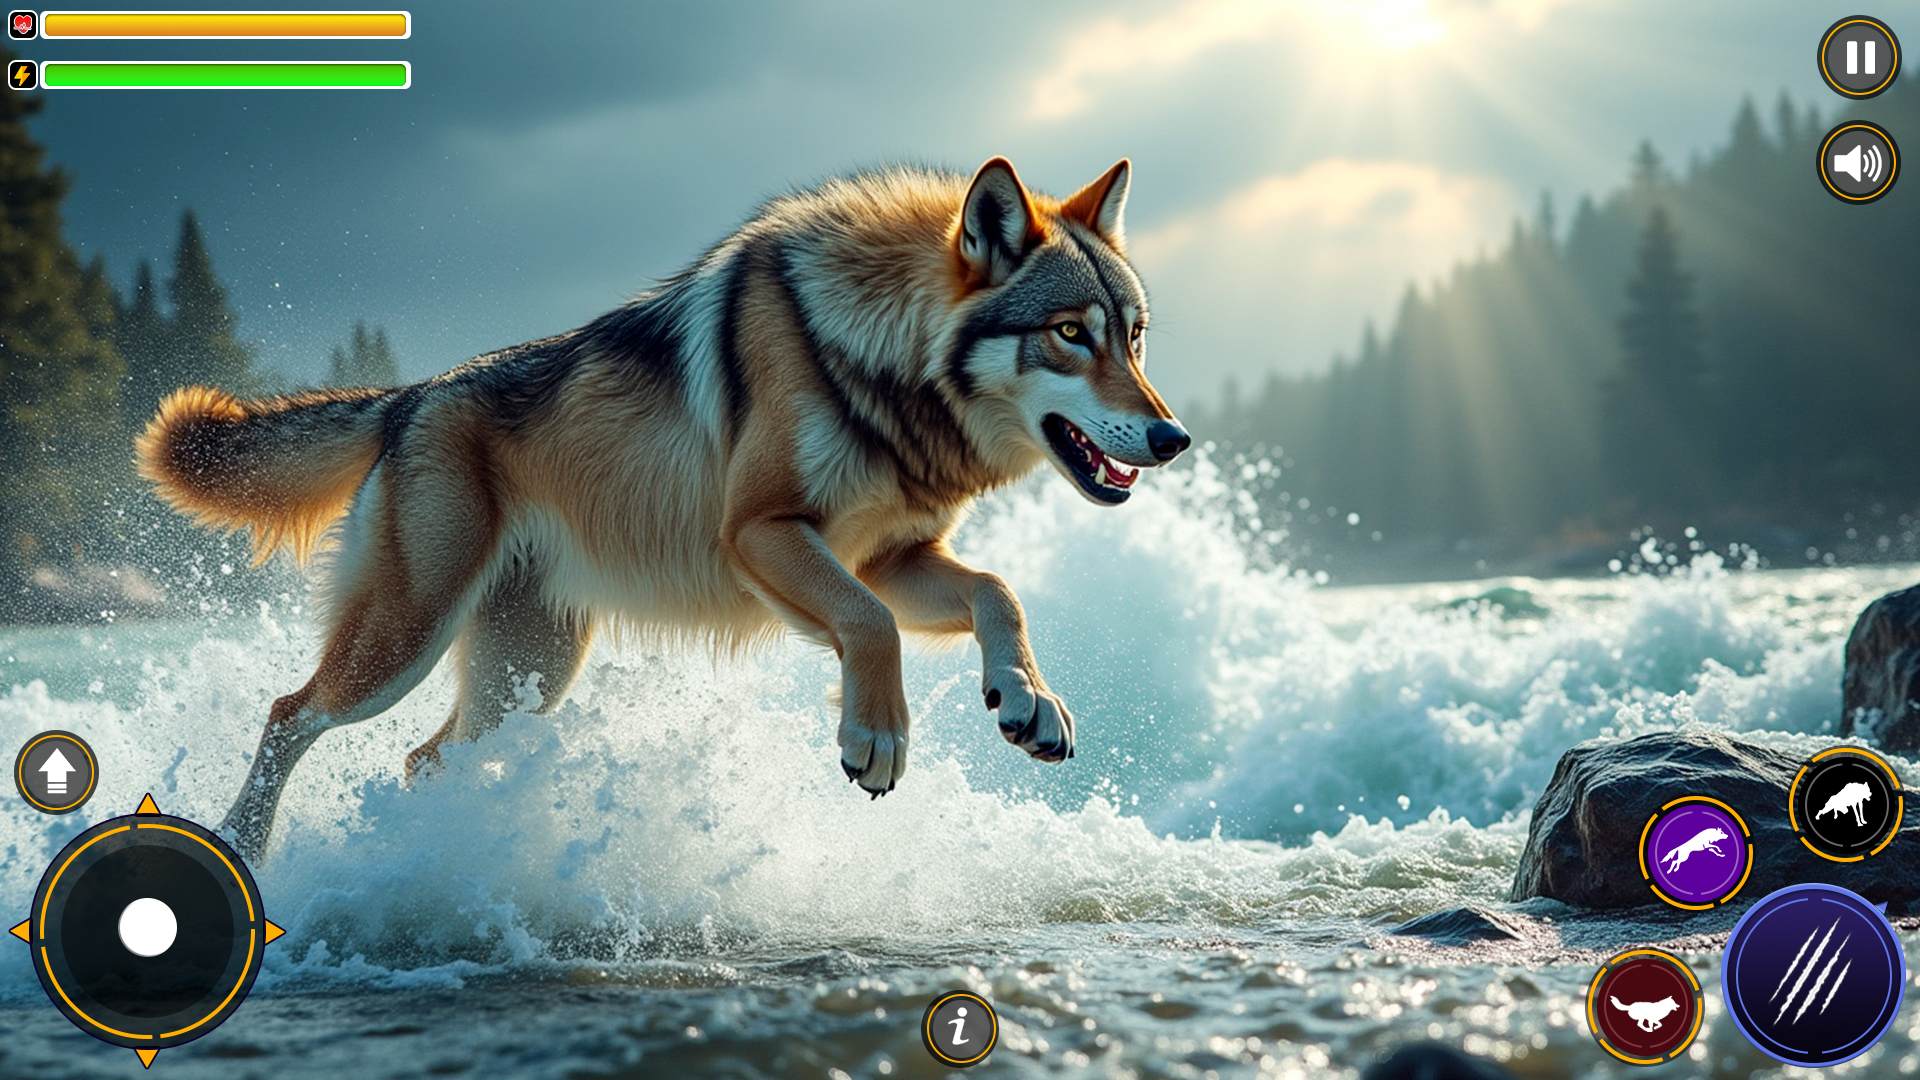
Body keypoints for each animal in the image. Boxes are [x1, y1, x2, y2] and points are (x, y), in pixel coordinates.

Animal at [137, 158, 1190, 860]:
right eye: (1070, 334)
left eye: (1136, 337)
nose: (1175, 438)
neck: (881, 368)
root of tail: (408, 397)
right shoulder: (764, 536)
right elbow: (871, 625)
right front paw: (876, 739)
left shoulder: (890, 556)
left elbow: (997, 593)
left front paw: (1028, 701)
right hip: (406, 640)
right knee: (289, 712)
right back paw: (244, 849)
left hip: (526, 679)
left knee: (418, 761)